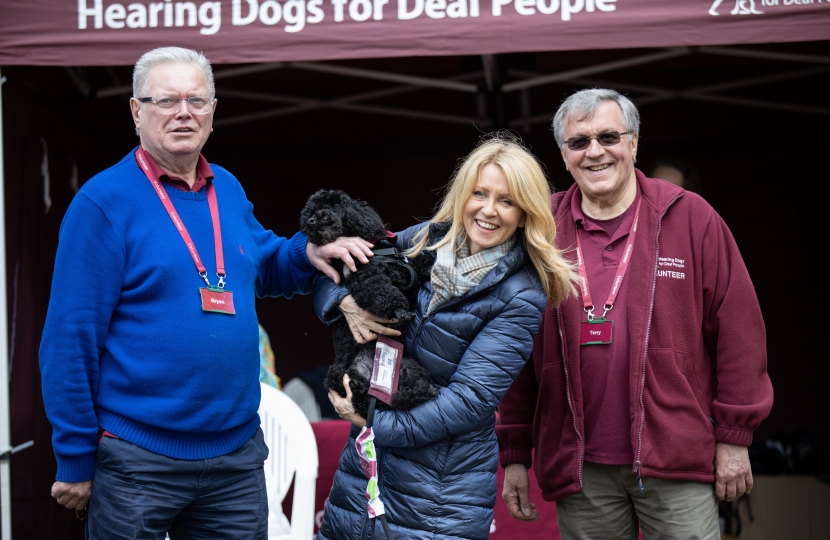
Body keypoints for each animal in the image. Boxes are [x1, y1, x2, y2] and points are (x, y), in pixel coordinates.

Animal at [300, 190, 438, 418]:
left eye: (331, 205)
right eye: (309, 213)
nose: (311, 221)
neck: (376, 252)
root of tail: (367, 371)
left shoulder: (408, 272)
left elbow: (419, 264)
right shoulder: (365, 277)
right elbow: (382, 292)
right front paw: (399, 310)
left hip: (408, 366)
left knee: (408, 394)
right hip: (338, 374)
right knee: (363, 403)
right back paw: (359, 390)